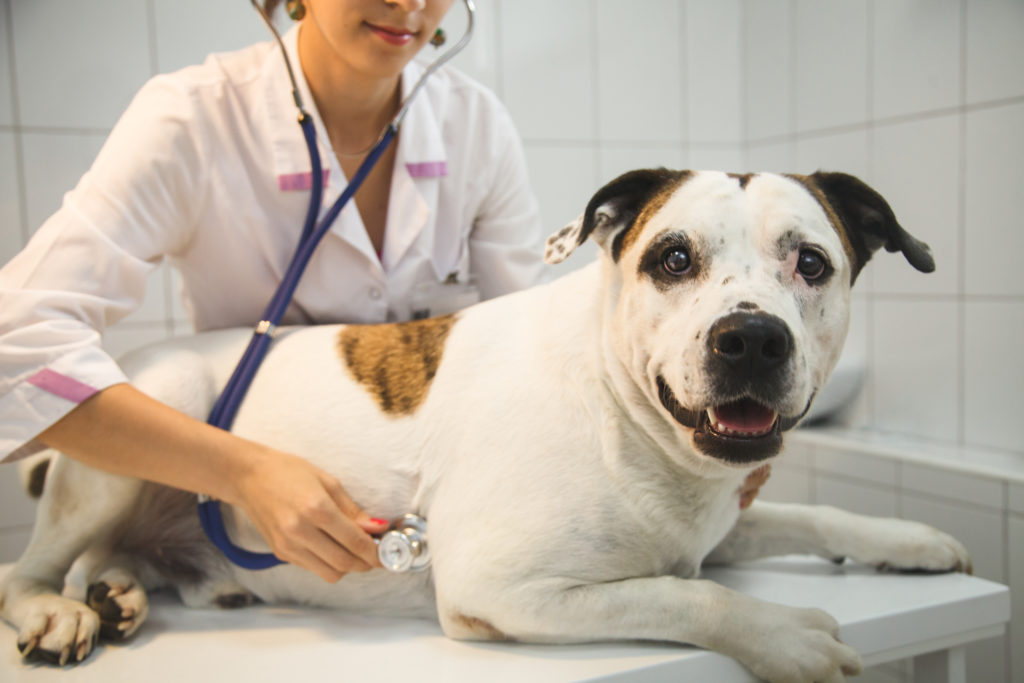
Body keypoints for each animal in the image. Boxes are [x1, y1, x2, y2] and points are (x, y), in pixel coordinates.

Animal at [0, 169, 970, 679]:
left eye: (812, 262)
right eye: (672, 258)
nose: (751, 338)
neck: (623, 417)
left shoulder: (718, 524)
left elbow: (812, 515)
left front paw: (911, 540)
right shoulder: (502, 587)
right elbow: (683, 593)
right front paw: (785, 635)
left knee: (115, 556)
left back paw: (120, 590)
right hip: (127, 436)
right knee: (29, 566)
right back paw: (61, 610)